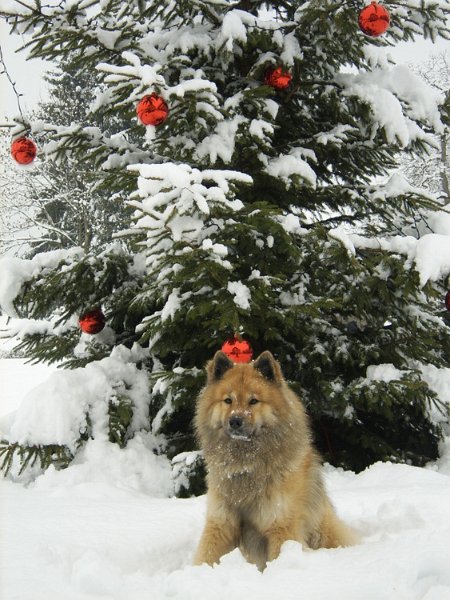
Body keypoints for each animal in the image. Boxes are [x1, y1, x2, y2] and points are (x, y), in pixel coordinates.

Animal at [192, 352, 356, 572]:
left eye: (253, 401)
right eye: (227, 400)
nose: (235, 421)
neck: (246, 466)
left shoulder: (281, 525)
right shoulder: (221, 523)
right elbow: (206, 554)